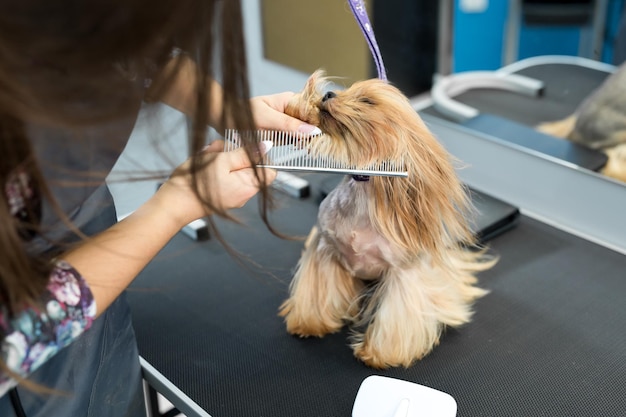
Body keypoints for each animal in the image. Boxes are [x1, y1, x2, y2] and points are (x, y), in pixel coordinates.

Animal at [276, 70, 494, 368]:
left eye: (367, 100)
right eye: (345, 91)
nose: (329, 94)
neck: (363, 196)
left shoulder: (403, 272)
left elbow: (397, 316)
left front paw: (380, 355)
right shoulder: (324, 250)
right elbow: (318, 293)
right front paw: (310, 323)